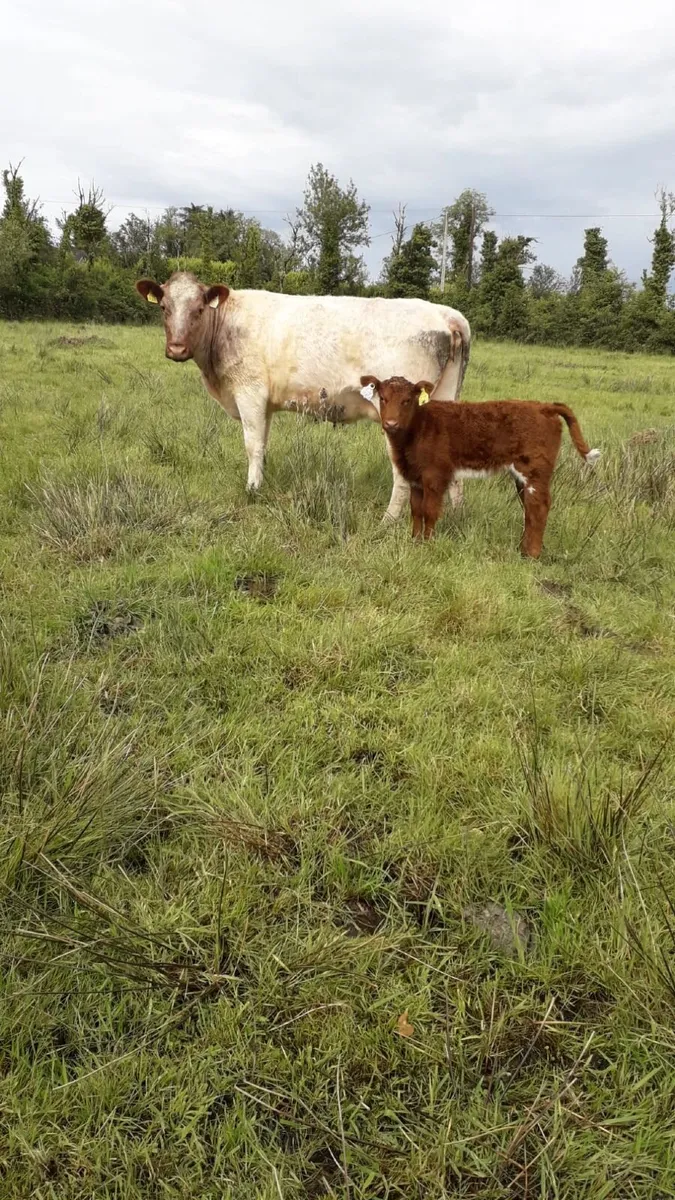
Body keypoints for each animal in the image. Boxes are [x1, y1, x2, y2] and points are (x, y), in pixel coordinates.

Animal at [136, 273, 471, 520]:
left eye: (199, 309)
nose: (177, 349)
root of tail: (444, 313)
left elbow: (252, 446)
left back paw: (389, 520)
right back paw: (454, 515)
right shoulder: (265, 404)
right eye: (164, 308)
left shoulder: (249, 392)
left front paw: (251, 490)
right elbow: (263, 445)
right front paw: (260, 485)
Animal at [361, 375, 601, 558]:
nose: (391, 424)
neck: (417, 430)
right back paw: (522, 550)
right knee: (529, 508)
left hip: (535, 469)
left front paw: (427, 545)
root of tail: (544, 407)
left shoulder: (436, 475)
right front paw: (415, 542)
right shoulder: (415, 477)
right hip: (522, 475)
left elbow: (430, 511)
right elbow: (416, 511)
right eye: (383, 398)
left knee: (538, 507)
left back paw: (532, 555)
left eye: (407, 400)